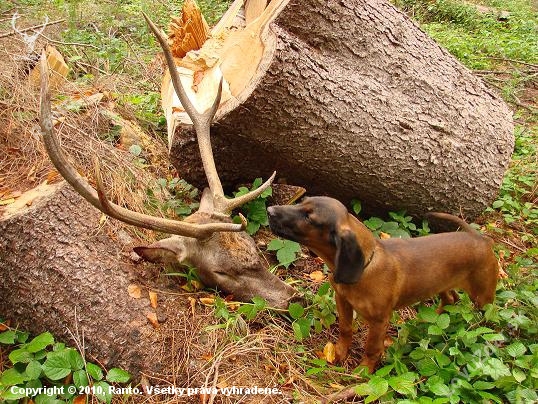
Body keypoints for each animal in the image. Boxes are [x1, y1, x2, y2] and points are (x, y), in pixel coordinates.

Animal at [266, 196, 496, 372]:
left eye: (309, 218)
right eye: (301, 202)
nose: (269, 210)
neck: (366, 267)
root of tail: (481, 238)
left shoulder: (379, 322)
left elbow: (371, 348)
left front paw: (363, 371)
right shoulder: (343, 300)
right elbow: (345, 329)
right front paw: (339, 353)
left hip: (483, 297)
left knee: (486, 316)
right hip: (440, 285)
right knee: (450, 299)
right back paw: (428, 321)